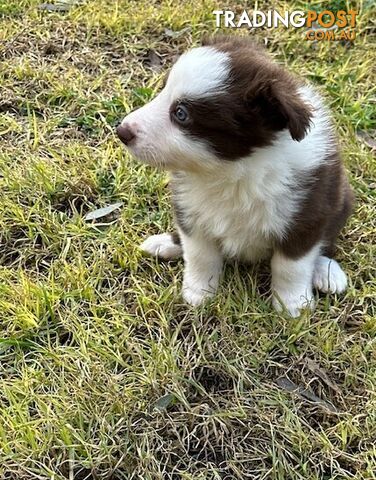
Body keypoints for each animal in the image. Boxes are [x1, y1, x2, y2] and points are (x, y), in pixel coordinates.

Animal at [117, 35, 352, 316]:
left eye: (181, 114)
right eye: (163, 91)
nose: (122, 131)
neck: (230, 172)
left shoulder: (306, 216)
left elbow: (290, 266)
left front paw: (292, 305)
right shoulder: (190, 210)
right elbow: (200, 254)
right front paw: (199, 292)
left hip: (341, 201)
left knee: (326, 241)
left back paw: (326, 271)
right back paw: (166, 244)